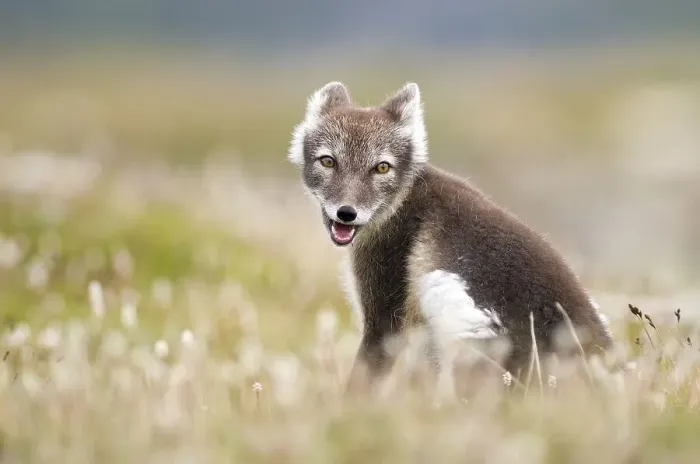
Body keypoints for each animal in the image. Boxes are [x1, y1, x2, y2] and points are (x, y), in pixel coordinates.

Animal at [287, 81, 614, 401]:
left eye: (382, 167)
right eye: (328, 161)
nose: (347, 213)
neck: (402, 201)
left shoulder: (385, 309)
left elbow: (364, 377)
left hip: (448, 306)